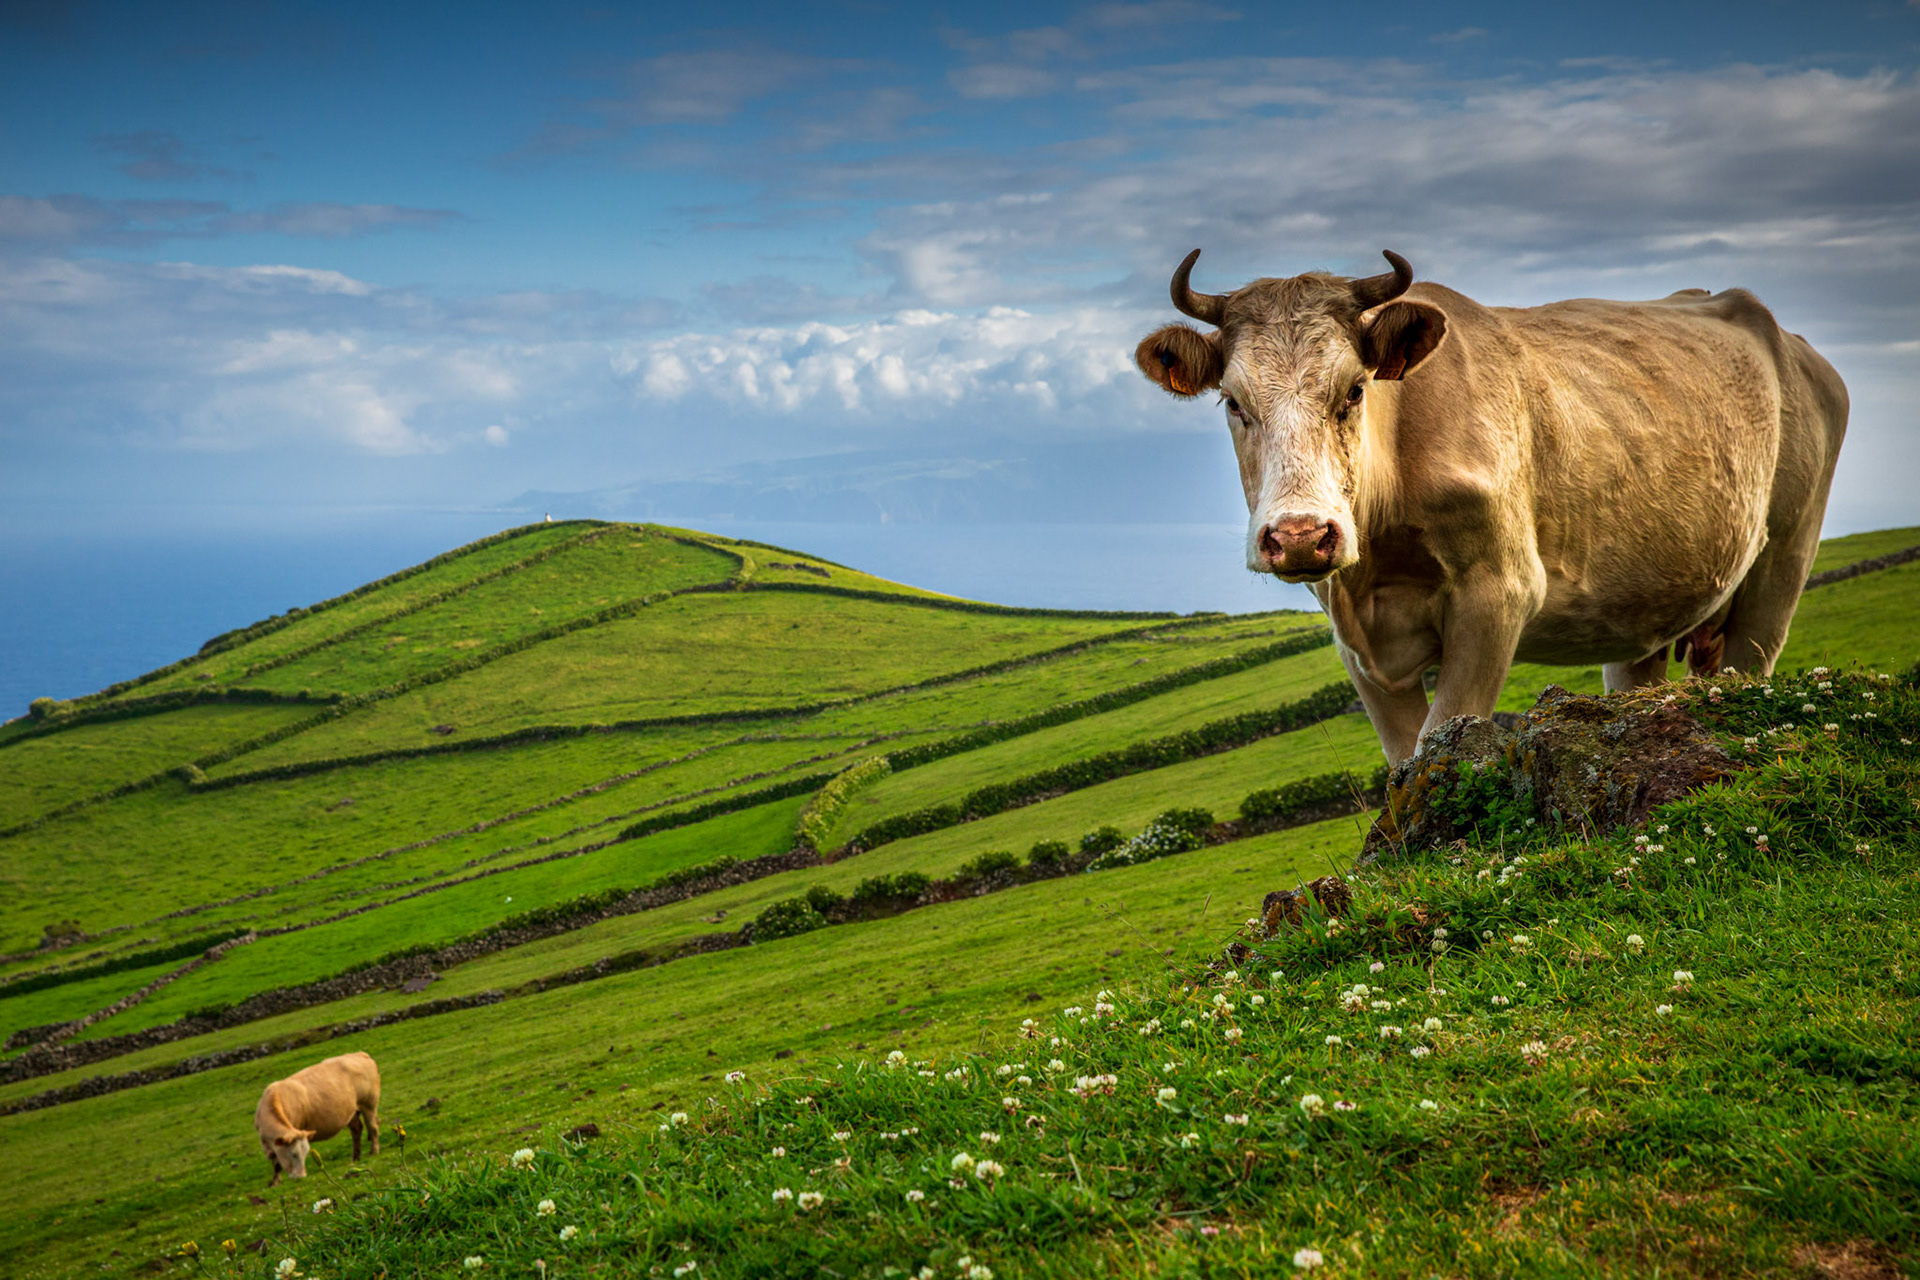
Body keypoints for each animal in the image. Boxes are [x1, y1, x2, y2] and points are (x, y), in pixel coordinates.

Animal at [254, 1051, 381, 1187]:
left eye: (305, 1154)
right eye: (293, 1154)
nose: (301, 1177)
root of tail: (360, 1054)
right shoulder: (267, 1143)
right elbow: (276, 1164)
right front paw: (274, 1182)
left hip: (369, 1104)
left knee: (373, 1127)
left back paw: (374, 1151)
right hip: (351, 1112)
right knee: (357, 1129)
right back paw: (355, 1157)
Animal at [1135, 249, 1848, 763]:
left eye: (1355, 390)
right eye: (1232, 401)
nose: (1303, 535)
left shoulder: (1496, 593)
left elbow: (1441, 739)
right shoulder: (1356, 643)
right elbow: (1404, 761)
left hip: (1781, 564)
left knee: (1756, 650)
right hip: (1645, 606)